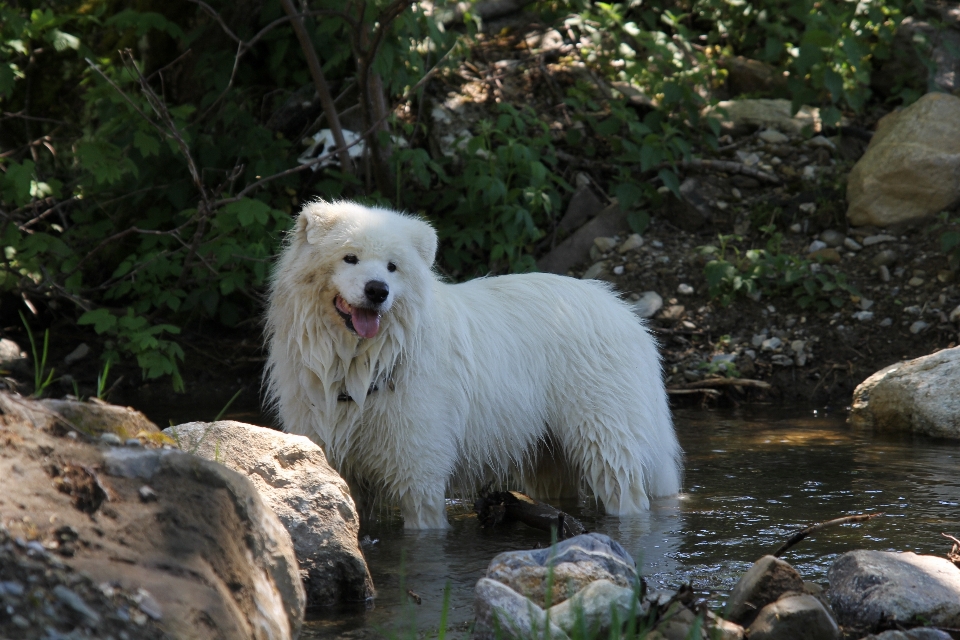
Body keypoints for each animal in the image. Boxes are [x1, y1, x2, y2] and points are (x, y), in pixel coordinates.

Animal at [264, 201, 684, 528]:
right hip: (549, 453)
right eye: (349, 257)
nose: (377, 291)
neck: (360, 362)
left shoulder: (419, 469)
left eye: (392, 267)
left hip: (604, 436)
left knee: (626, 491)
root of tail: (628, 316)